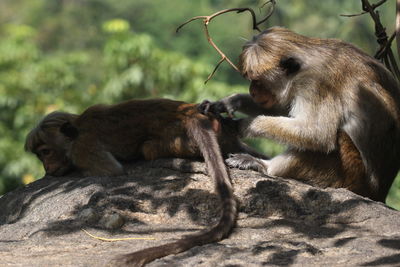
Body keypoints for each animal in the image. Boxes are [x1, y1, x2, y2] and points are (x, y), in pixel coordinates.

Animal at [26, 97, 268, 266]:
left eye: (46, 152)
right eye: (40, 156)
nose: (47, 168)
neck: (76, 129)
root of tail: (193, 115)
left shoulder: (83, 149)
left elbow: (110, 171)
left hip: (178, 140)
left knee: (148, 148)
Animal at [202, 27, 400, 203]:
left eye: (257, 81)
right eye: (251, 81)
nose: (252, 90)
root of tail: (377, 194)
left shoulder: (314, 84)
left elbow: (317, 134)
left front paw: (243, 125)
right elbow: (282, 109)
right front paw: (230, 102)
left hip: (350, 175)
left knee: (334, 138)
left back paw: (266, 167)